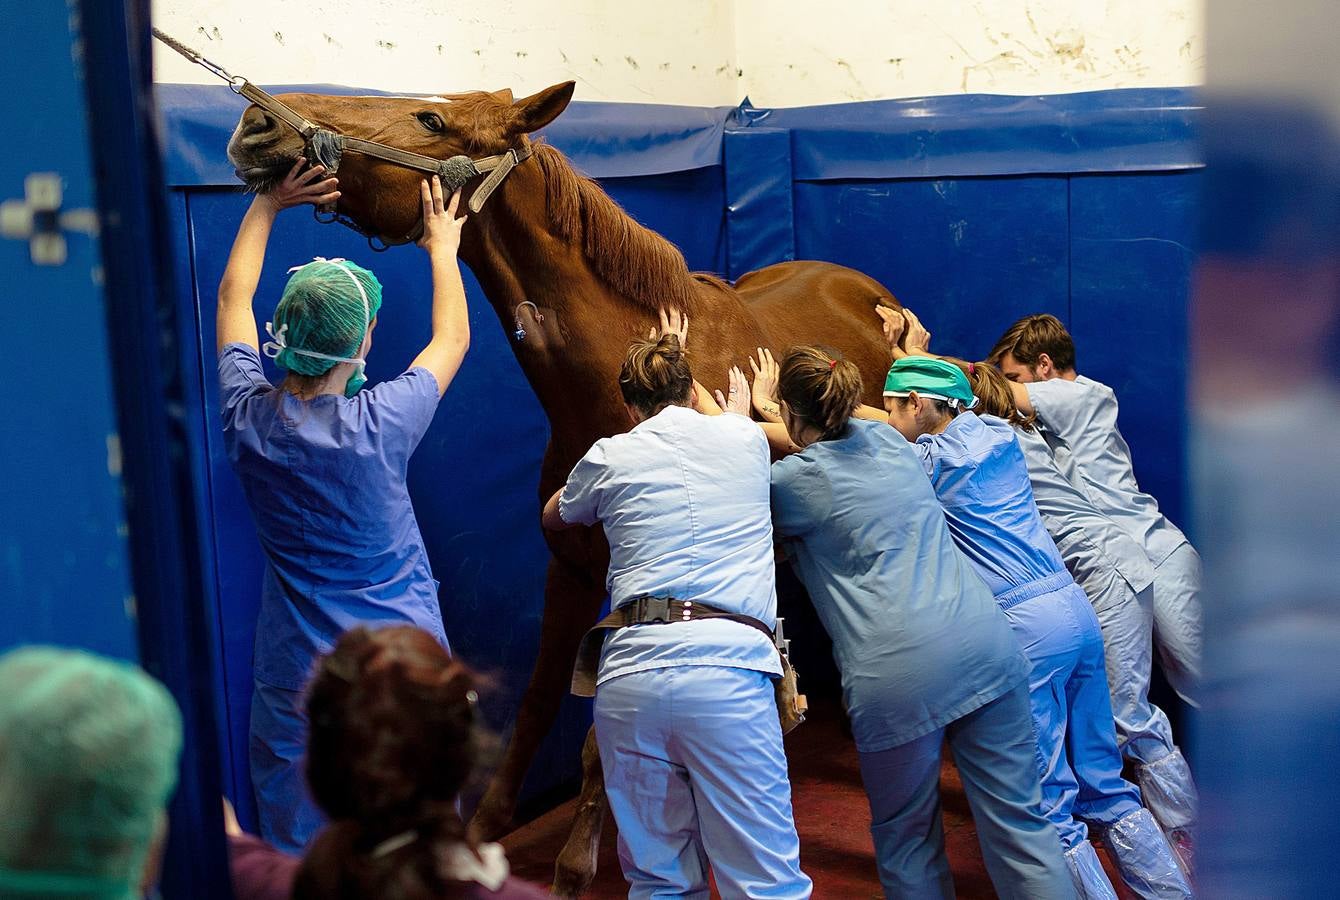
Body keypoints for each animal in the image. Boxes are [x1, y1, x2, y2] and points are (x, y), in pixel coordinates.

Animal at [227, 82, 900, 894]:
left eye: (431, 118)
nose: (256, 121)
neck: (629, 376)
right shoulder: (571, 570)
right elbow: (539, 704)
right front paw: (482, 833)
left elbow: (598, 736)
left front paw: (577, 864)